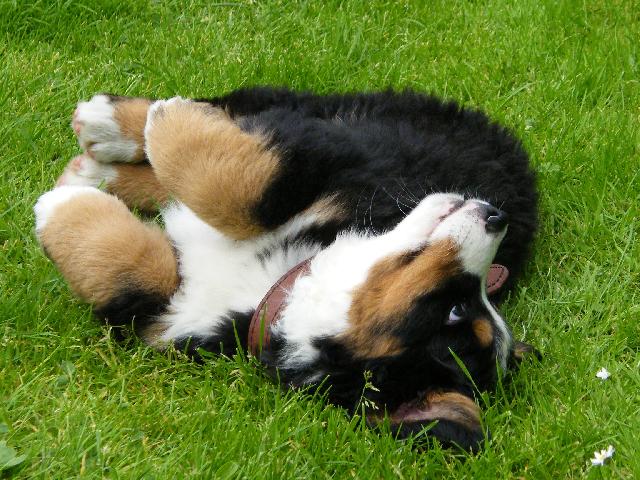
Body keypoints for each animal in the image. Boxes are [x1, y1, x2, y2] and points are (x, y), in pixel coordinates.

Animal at [34, 87, 538, 450]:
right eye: (459, 309)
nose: (496, 218)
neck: (276, 288)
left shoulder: (180, 321)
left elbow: (140, 279)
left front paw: (59, 207)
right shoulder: (347, 163)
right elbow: (250, 193)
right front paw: (165, 122)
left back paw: (95, 171)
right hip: (355, 119)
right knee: (247, 110)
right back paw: (110, 129)